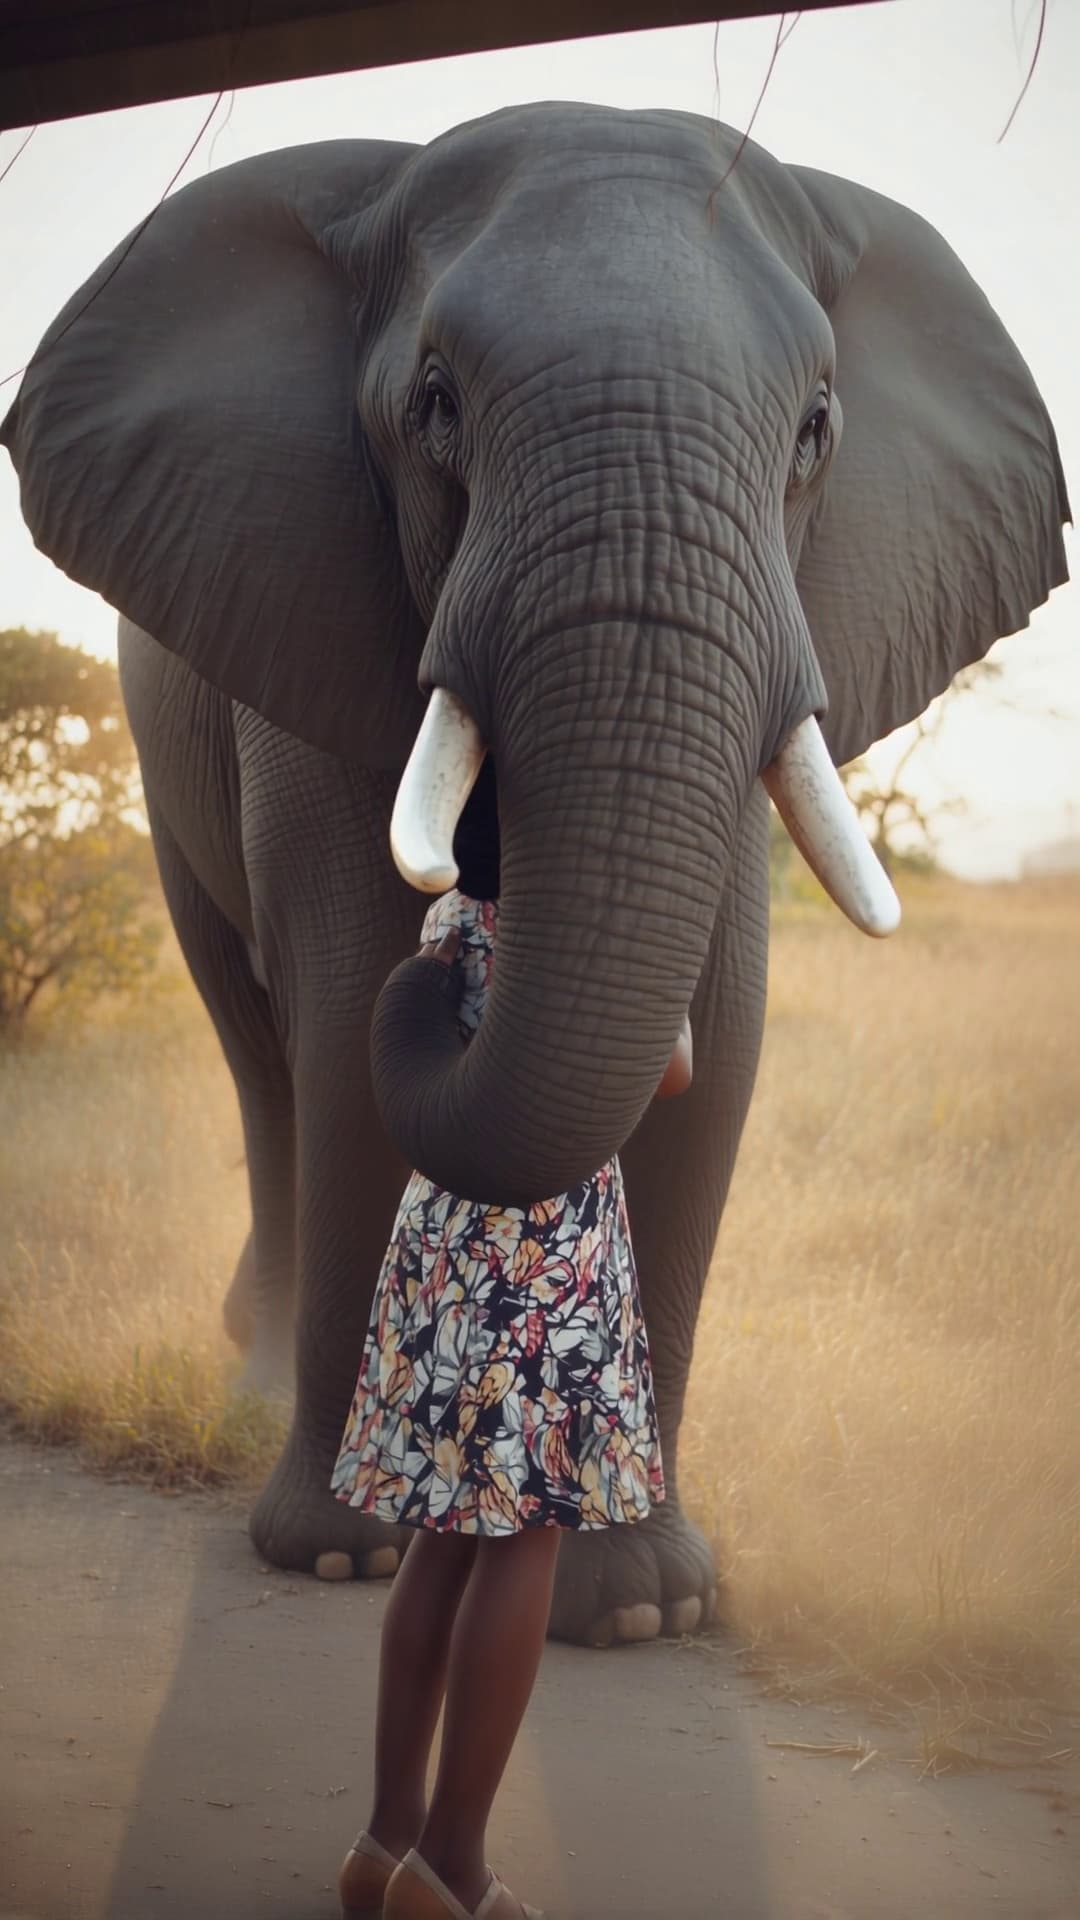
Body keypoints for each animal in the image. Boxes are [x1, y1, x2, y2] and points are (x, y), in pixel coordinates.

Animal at [2, 104, 1068, 1646]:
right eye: (437, 403)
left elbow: (724, 1039)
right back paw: (256, 1386)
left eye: (817, 429)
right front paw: (347, 1552)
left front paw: (637, 1608)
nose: (462, 955)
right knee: (260, 1048)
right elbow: (347, 1008)